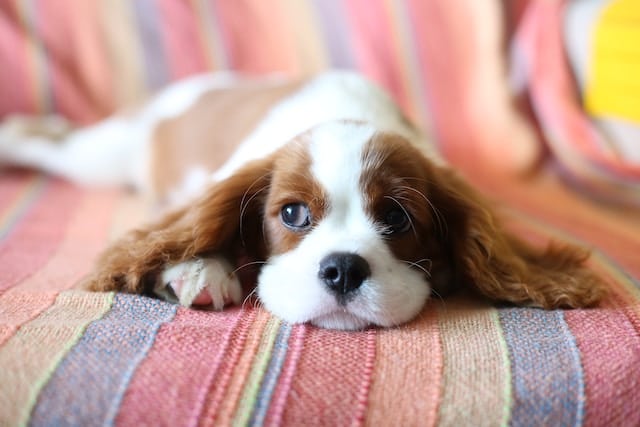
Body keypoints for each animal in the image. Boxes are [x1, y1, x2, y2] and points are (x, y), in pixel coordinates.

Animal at [0, 72, 604, 332]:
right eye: (293, 214)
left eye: (396, 217)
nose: (342, 270)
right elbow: (192, 224)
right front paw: (199, 268)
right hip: (105, 154)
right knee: (49, 139)